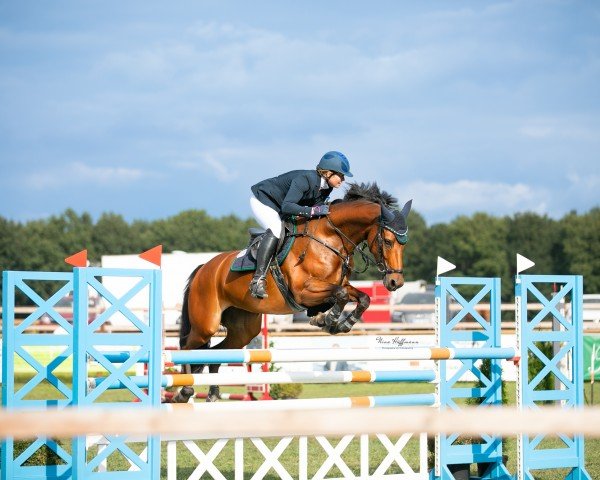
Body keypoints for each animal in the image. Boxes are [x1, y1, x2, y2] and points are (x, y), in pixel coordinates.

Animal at [171, 183, 410, 402]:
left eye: (404, 245)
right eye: (388, 241)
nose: (395, 282)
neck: (329, 238)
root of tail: (204, 267)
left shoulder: (336, 286)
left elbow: (362, 297)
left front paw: (341, 324)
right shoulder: (303, 292)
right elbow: (340, 294)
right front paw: (328, 319)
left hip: (243, 329)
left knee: (215, 352)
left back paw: (212, 393)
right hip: (206, 324)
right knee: (187, 346)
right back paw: (184, 391)